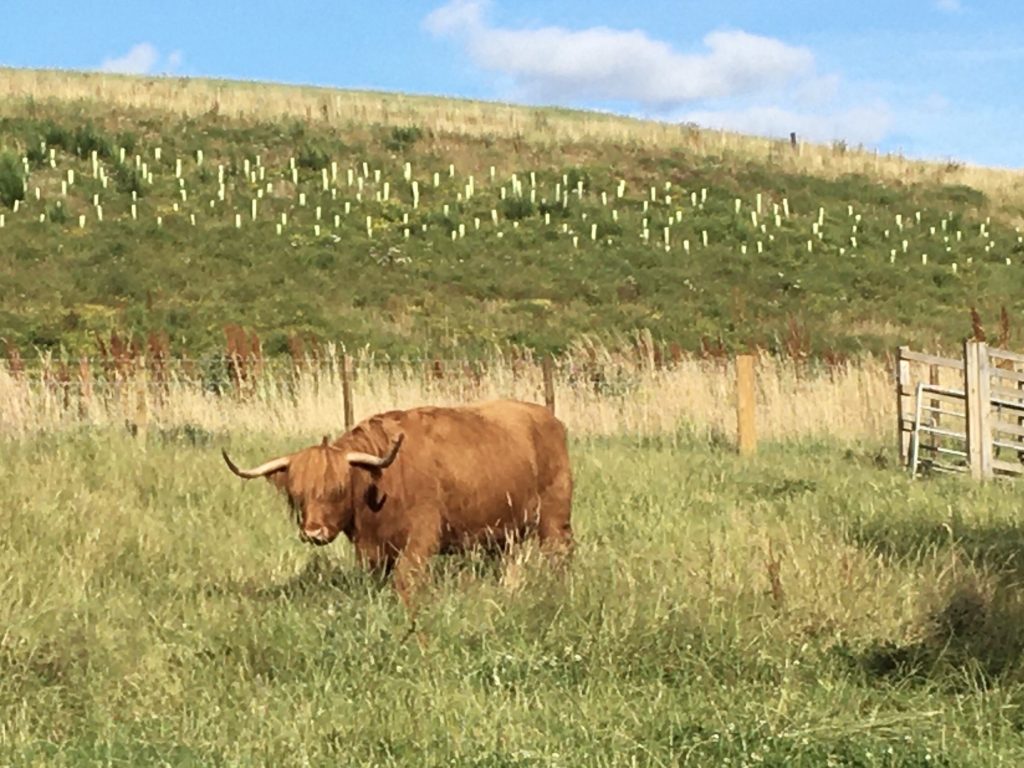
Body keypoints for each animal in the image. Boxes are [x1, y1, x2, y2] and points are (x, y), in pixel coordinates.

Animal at [223, 399, 573, 606]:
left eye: (338, 489)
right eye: (297, 495)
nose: (313, 532)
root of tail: (546, 415)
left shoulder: (422, 537)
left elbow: (405, 580)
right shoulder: (374, 552)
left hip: (554, 519)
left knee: (559, 555)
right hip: (503, 531)